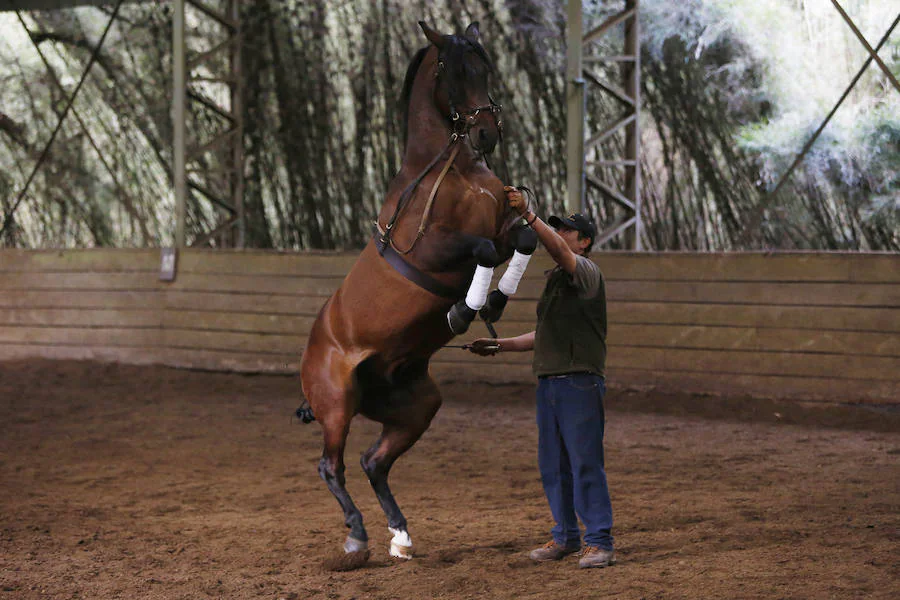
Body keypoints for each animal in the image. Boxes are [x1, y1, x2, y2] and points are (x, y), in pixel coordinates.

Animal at [298, 19, 536, 564]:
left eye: (485, 67)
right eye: (454, 69)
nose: (486, 133)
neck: (453, 168)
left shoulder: (504, 229)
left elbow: (524, 239)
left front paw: (492, 303)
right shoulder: (432, 249)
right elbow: (483, 251)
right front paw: (462, 312)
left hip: (416, 407)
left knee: (374, 462)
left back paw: (400, 535)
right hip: (337, 406)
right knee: (332, 466)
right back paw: (357, 535)